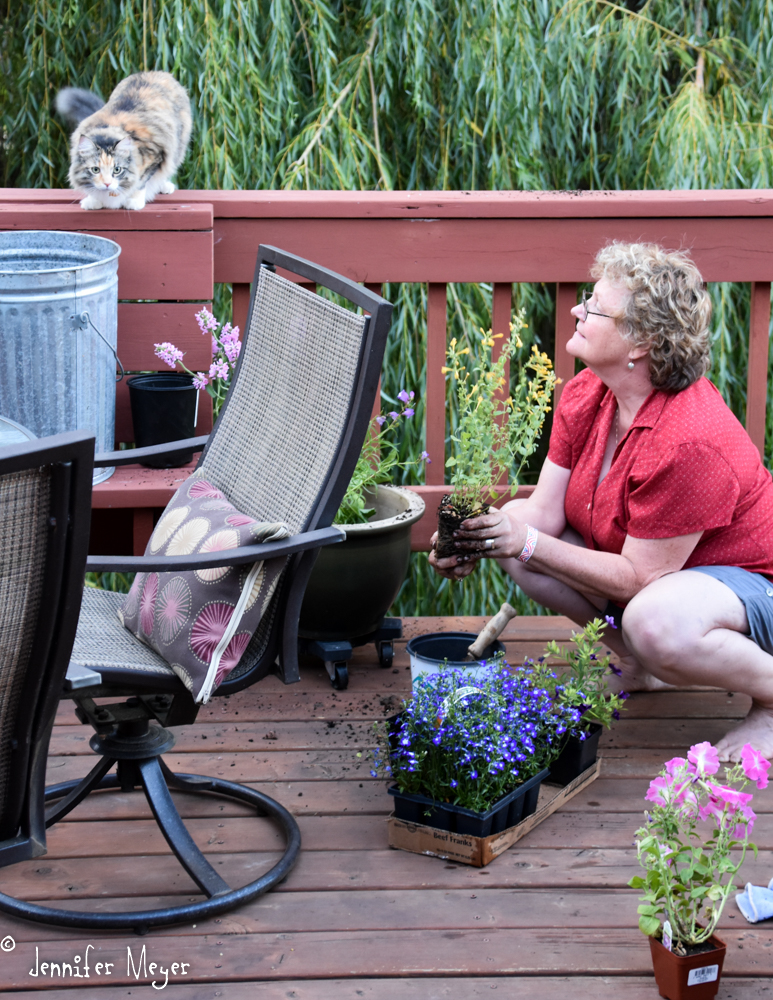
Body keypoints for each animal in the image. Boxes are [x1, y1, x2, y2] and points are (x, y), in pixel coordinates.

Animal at [55, 72, 191, 211]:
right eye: (95, 170)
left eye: (117, 170)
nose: (107, 183)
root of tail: (157, 72)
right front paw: (94, 201)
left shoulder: (156, 157)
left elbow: (140, 183)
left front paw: (134, 201)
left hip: (177, 148)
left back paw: (164, 186)